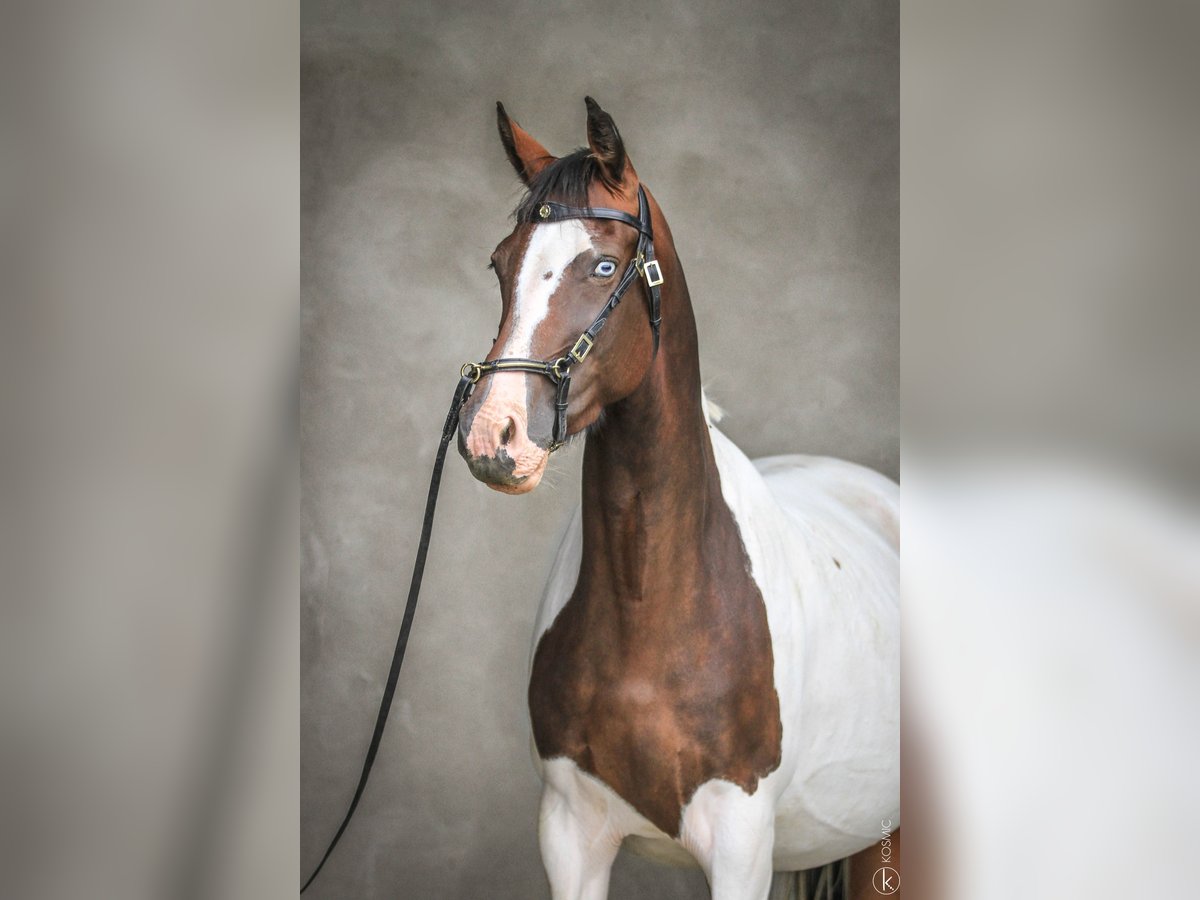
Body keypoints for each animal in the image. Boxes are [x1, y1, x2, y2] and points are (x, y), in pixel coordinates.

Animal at [453, 97, 897, 900]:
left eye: (602, 266)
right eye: (501, 264)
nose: (492, 434)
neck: (652, 597)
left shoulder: (741, 845)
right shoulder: (570, 835)